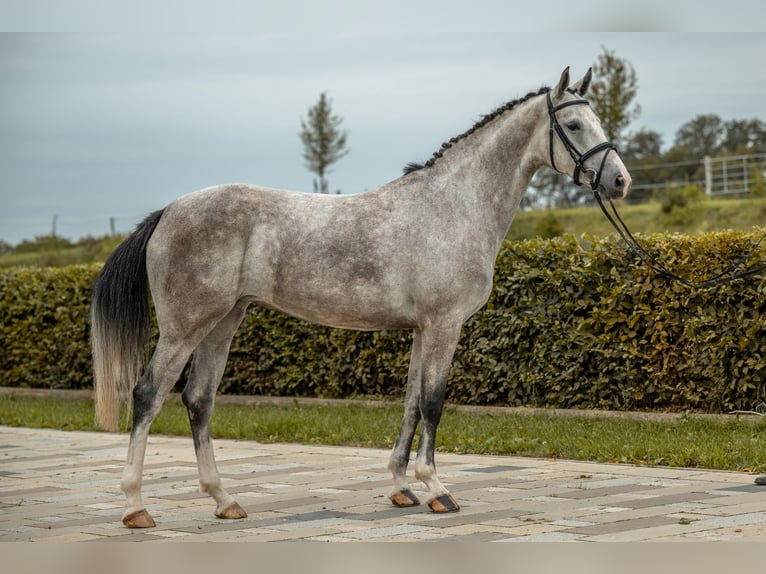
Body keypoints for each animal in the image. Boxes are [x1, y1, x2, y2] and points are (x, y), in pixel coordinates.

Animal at [91, 67, 632, 532]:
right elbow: (433, 402)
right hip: (185, 326)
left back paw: (225, 501)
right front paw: (437, 489)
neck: (454, 206)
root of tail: (168, 212)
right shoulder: (444, 325)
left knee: (198, 399)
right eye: (574, 124)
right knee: (148, 394)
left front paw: (401, 488)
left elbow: (412, 402)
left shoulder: (422, 330)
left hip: (223, 322)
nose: (620, 181)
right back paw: (136, 506)